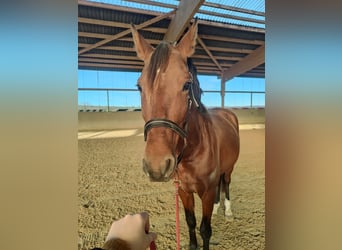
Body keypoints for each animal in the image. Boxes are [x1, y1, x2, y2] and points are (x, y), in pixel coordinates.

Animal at [131, 20, 240, 249]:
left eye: (186, 84)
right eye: (139, 87)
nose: (156, 166)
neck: (193, 151)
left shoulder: (206, 192)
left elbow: (205, 230)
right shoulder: (184, 191)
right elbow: (190, 222)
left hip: (229, 169)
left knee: (225, 184)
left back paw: (228, 212)